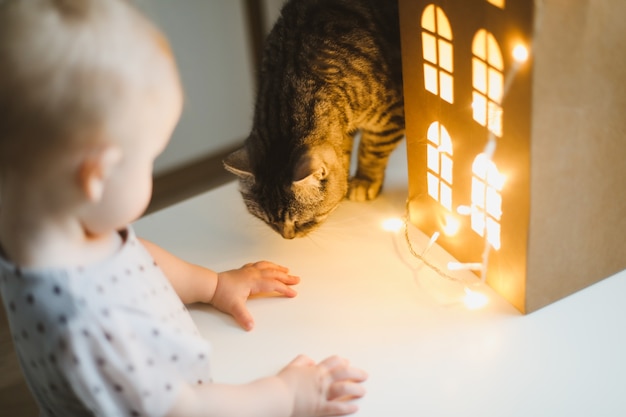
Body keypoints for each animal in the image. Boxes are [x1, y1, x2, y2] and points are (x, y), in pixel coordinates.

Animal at [224, 0, 404, 237]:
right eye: (269, 222)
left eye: (302, 222)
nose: (287, 237)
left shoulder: (391, 116)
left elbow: (371, 151)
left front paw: (363, 181)